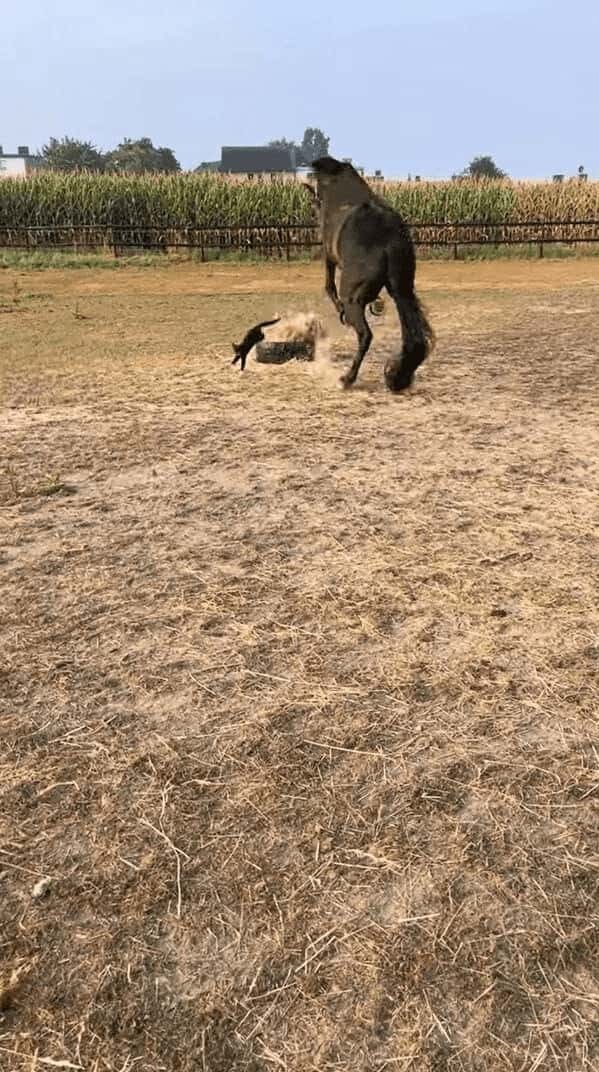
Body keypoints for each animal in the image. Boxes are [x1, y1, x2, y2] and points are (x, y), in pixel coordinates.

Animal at [308, 156, 430, 392]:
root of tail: (388, 241)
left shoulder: (328, 255)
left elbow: (328, 285)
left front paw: (339, 309)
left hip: (354, 298)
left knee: (365, 335)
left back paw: (347, 378)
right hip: (402, 290)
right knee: (414, 337)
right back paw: (396, 376)